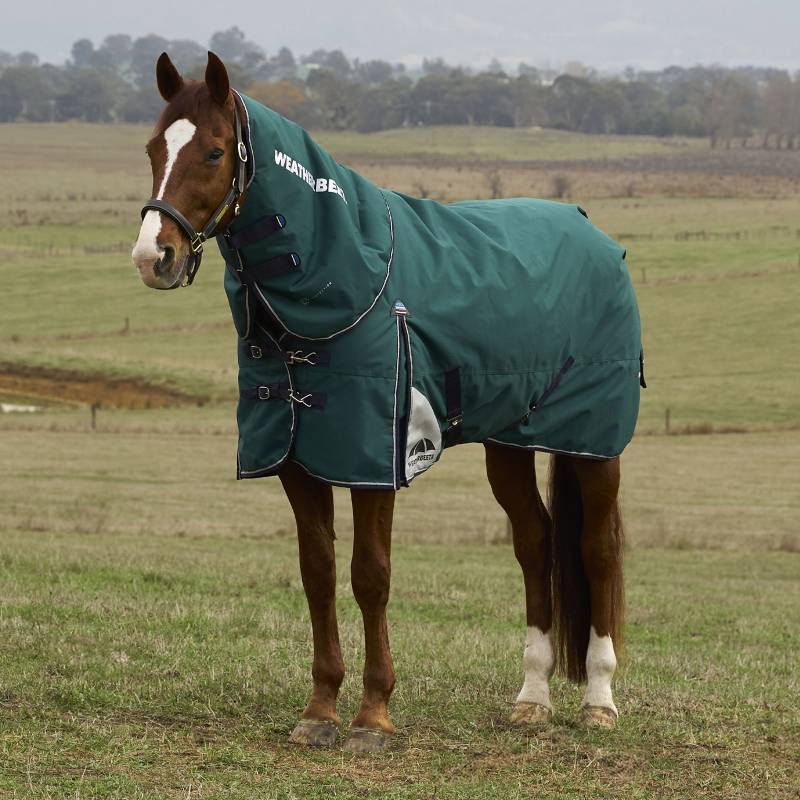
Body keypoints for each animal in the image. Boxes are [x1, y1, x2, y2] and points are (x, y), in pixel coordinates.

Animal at [131, 51, 636, 753]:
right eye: (154, 149)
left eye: (212, 151)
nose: (153, 256)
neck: (348, 273)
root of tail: (592, 231)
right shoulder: (299, 459)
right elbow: (317, 572)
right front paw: (319, 710)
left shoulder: (374, 461)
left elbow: (370, 574)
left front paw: (373, 715)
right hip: (508, 443)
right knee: (535, 542)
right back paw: (532, 697)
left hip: (593, 446)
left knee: (597, 549)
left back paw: (599, 701)